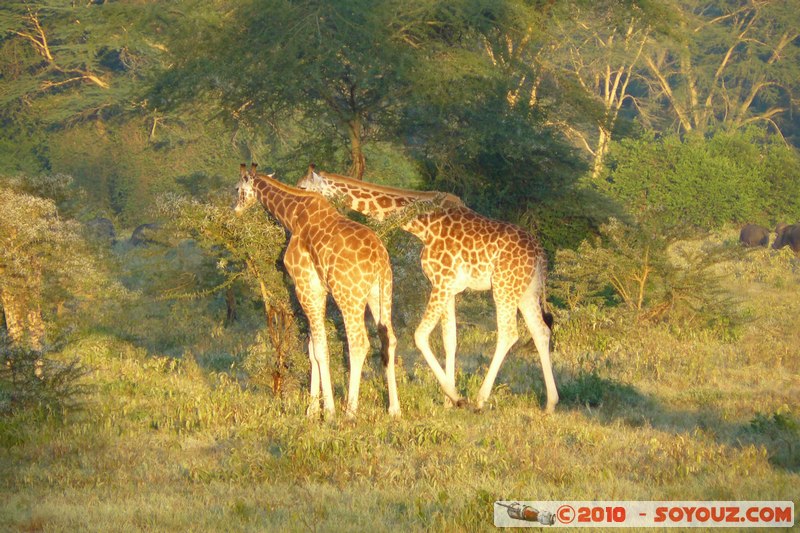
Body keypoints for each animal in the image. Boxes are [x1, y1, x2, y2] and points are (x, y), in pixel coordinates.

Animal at [236, 164, 400, 418]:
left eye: (237, 189)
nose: (235, 210)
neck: (293, 216)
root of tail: (379, 259)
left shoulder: (306, 286)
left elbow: (320, 348)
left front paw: (328, 411)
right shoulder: (318, 290)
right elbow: (313, 348)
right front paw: (313, 410)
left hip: (349, 296)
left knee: (359, 343)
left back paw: (350, 412)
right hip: (382, 291)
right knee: (388, 338)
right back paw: (394, 409)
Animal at [296, 166, 560, 412]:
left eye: (303, 187)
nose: (300, 209)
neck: (422, 223)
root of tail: (540, 254)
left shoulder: (441, 280)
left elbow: (420, 335)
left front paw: (454, 395)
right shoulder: (449, 287)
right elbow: (450, 339)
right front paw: (448, 400)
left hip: (504, 286)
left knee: (508, 333)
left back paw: (480, 399)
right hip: (526, 291)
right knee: (541, 331)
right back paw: (550, 403)